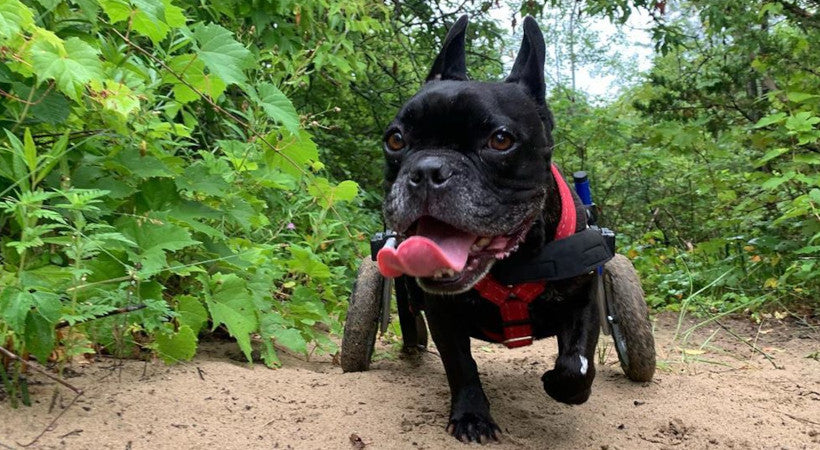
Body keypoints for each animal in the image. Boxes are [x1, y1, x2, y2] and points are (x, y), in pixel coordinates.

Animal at [378, 15, 604, 442]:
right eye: (395, 139)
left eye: (500, 140)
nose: (427, 170)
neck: (511, 264)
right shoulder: (442, 312)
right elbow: (461, 365)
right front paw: (471, 415)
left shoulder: (583, 298)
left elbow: (576, 363)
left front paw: (559, 384)